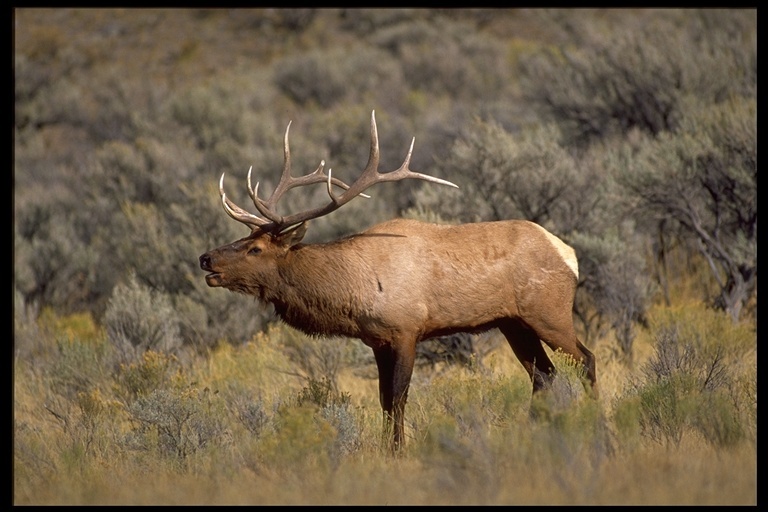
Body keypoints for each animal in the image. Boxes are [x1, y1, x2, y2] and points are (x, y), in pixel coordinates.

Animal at [198, 111, 592, 448]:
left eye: (255, 249)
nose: (206, 258)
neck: (355, 290)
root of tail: (569, 255)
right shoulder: (377, 340)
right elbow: (384, 399)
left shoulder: (406, 330)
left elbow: (399, 397)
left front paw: (398, 451)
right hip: (514, 323)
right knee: (544, 376)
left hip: (549, 313)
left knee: (585, 361)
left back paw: (595, 421)